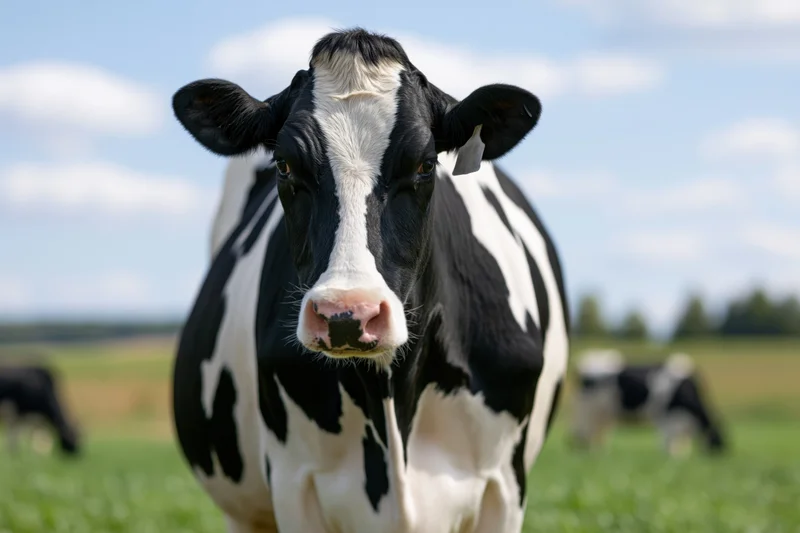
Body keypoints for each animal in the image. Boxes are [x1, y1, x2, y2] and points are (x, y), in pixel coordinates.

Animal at [569, 349, 726, 457]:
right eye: (718, 442)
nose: (721, 456)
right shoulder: (667, 415)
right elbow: (669, 439)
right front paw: (671, 457)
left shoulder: (680, 419)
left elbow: (681, 442)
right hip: (588, 410)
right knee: (586, 433)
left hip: (604, 413)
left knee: (599, 433)